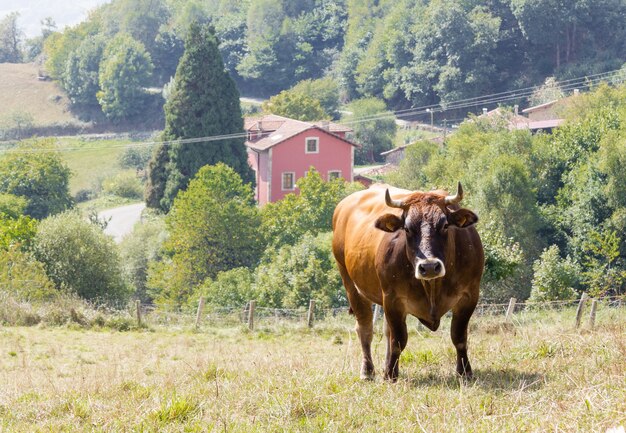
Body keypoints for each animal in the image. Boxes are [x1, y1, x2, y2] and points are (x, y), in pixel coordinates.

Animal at [332, 181, 482, 378]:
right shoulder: (392, 298)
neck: (432, 287)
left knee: (386, 331)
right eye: (407, 228)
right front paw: (390, 374)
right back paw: (368, 371)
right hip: (351, 285)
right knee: (365, 329)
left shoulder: (469, 295)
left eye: (444, 225)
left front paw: (464, 371)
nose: (429, 266)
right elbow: (398, 340)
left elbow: (459, 337)